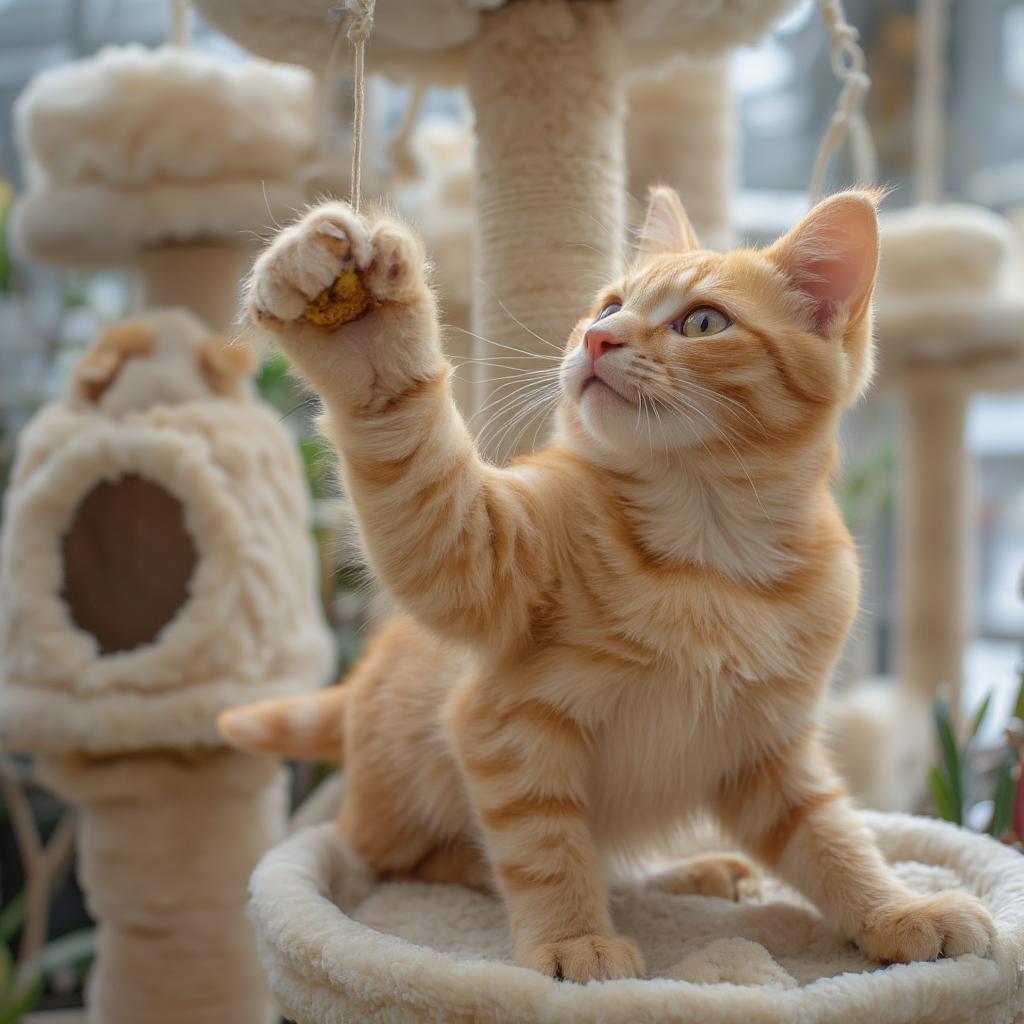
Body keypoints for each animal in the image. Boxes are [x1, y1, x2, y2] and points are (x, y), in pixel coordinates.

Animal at [222, 188, 991, 978]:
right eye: (608, 305)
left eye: (702, 321)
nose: (598, 340)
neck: (706, 554)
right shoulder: (489, 631)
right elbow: (546, 845)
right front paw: (572, 938)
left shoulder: (769, 748)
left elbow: (832, 837)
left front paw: (894, 910)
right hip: (399, 806)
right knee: (410, 861)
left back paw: (696, 871)